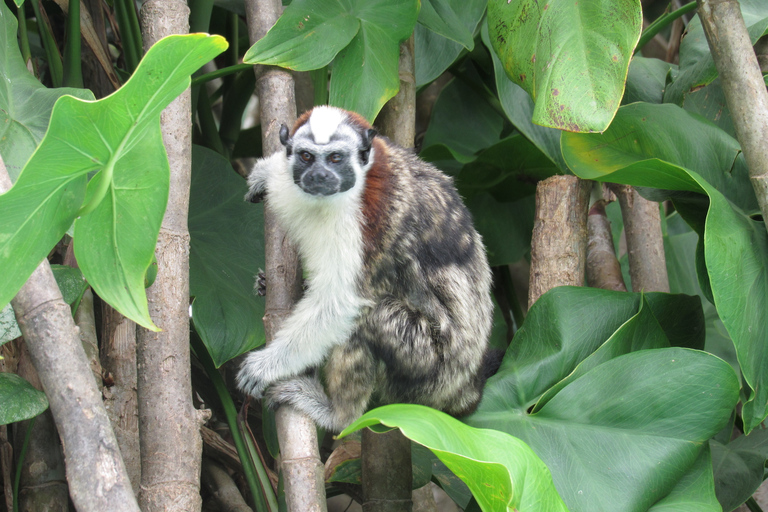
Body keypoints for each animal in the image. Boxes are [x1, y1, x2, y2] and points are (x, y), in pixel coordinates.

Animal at [237, 106, 496, 434]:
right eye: (306, 157)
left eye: (335, 158)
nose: (319, 176)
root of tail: (465, 385)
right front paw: (264, 172)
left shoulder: (364, 226)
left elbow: (340, 304)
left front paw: (267, 367)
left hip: (429, 371)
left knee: (370, 318)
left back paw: (338, 415)